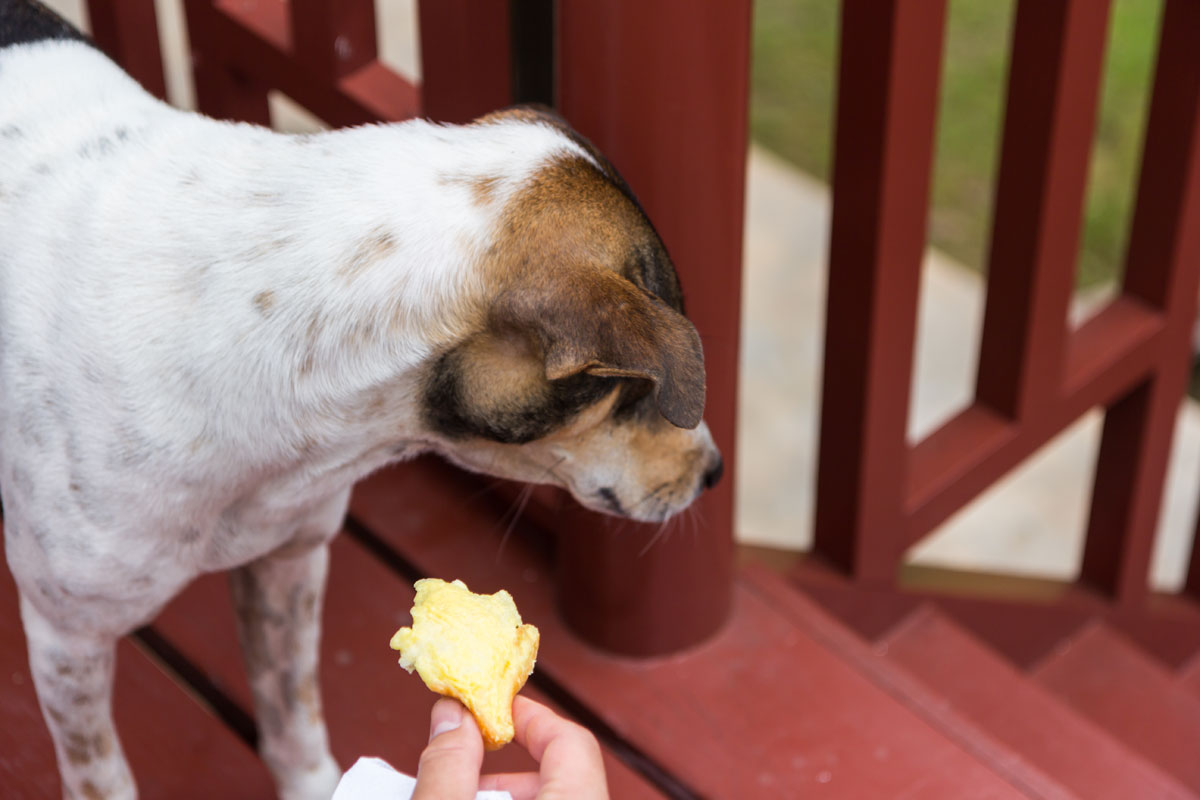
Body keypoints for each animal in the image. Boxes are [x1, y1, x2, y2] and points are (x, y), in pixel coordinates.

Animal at [0, 1, 720, 800]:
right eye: (639, 393)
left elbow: (293, 716)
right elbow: (102, 775)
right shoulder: (68, 638)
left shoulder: (289, 556)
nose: (715, 472)